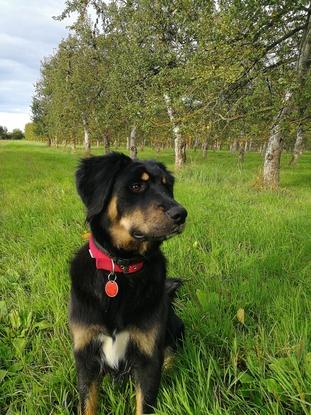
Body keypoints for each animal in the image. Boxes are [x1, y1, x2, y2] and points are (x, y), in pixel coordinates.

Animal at [69, 154, 188, 415]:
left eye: (167, 186)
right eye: (136, 186)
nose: (181, 214)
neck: (121, 269)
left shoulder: (147, 357)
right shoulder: (86, 357)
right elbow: (87, 404)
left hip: (174, 325)